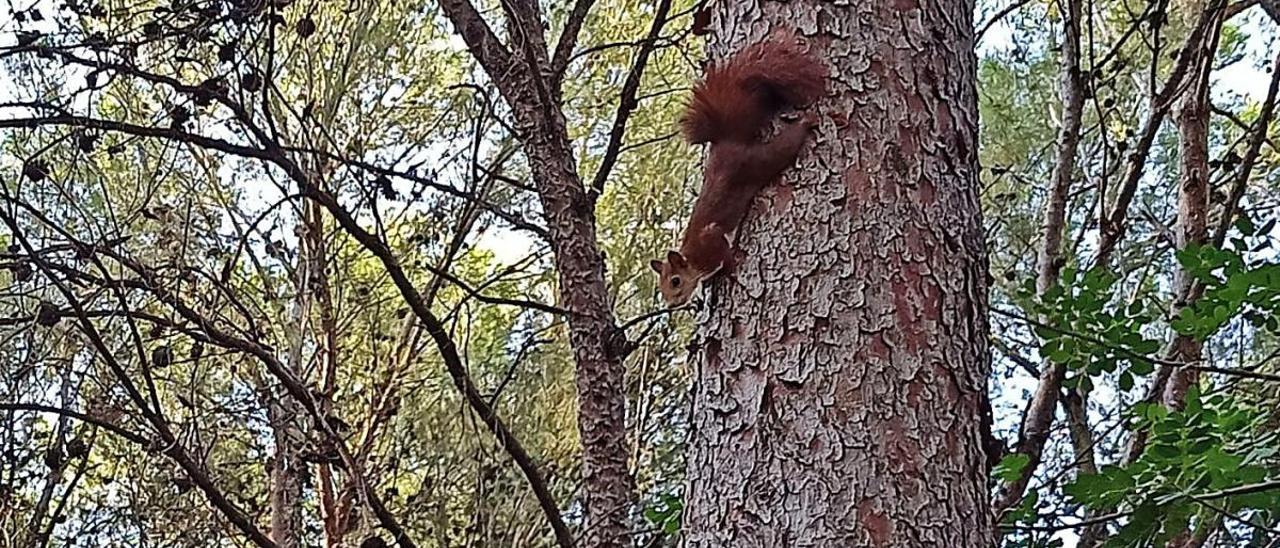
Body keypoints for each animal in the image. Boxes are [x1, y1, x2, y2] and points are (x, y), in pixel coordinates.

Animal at [650, 32, 829, 308]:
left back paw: (805, 122)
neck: (693, 261)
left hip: (756, 162)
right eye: (661, 287)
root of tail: (728, 142)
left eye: (676, 281)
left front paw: (730, 268)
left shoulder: (710, 241)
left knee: (783, 147)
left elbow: (723, 251)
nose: (671, 305)